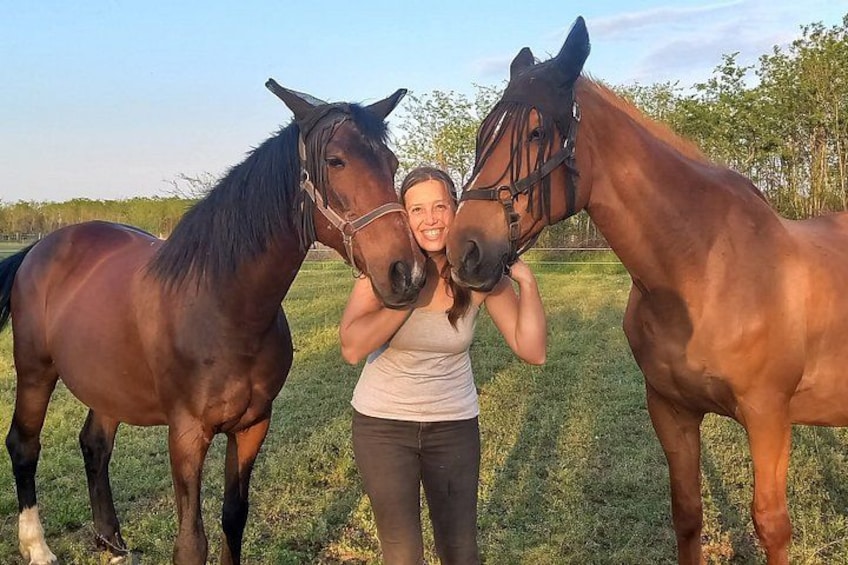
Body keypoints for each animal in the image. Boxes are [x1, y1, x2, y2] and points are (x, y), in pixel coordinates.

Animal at [0, 79, 426, 565]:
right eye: (336, 161)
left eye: (391, 163)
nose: (407, 272)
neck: (225, 309)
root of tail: (40, 247)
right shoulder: (187, 434)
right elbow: (191, 542)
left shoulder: (253, 426)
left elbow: (233, 518)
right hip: (35, 370)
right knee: (24, 445)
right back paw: (37, 547)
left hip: (105, 383)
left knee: (95, 446)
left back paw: (112, 545)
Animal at [446, 16, 848, 565]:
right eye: (483, 134)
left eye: (535, 133)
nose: (463, 251)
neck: (704, 269)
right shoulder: (670, 410)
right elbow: (687, 514)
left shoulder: (768, 417)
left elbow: (772, 525)